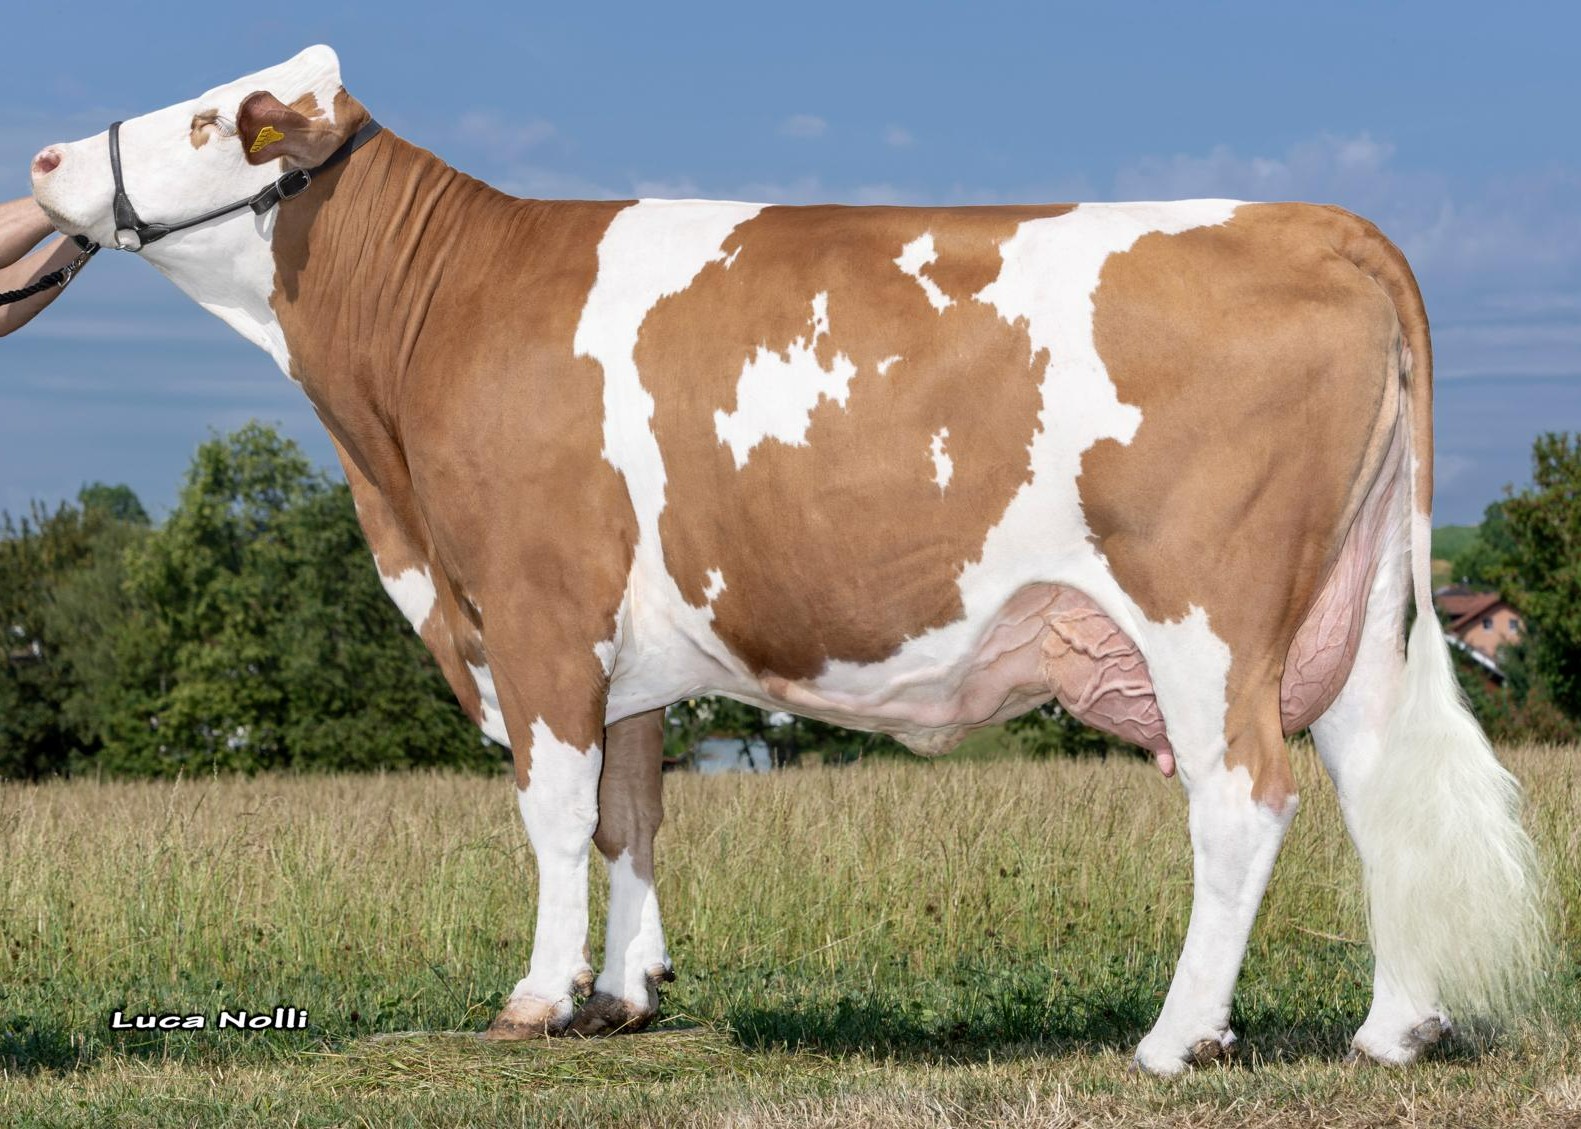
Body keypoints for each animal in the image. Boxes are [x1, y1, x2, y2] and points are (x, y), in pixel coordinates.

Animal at [29, 46, 1544, 1074]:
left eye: (209, 117)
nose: (43, 162)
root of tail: (1311, 220)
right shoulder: (617, 648)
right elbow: (630, 810)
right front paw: (626, 993)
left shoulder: (532, 605)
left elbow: (551, 808)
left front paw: (537, 998)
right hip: (1351, 610)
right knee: (1375, 789)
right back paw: (1394, 1028)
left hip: (1207, 614)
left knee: (1244, 801)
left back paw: (1177, 1039)